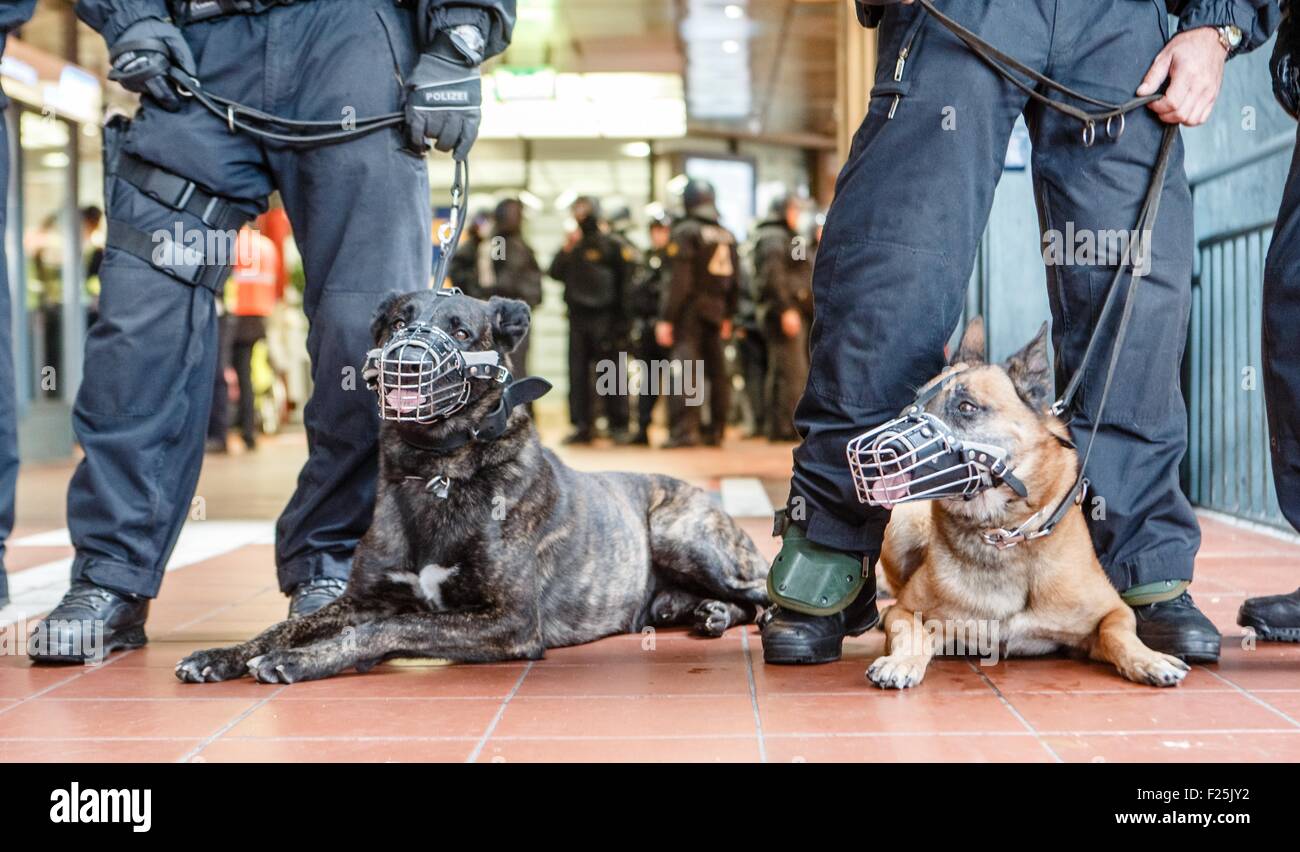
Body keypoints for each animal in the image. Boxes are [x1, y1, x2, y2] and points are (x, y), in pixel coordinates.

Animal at [171, 290, 759, 681]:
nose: (407, 360)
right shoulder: (362, 598)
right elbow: (286, 626)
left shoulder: (510, 622)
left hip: (682, 537)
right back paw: (705, 613)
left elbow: (389, 629)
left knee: (759, 596)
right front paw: (224, 654)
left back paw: (728, 613)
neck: (437, 471)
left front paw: (301, 659)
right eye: (398, 323)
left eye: (459, 332)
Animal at [868, 316, 1190, 692]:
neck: (1003, 534)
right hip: (901, 526)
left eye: (966, 407)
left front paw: (1148, 658)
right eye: (915, 403)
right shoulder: (909, 612)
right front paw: (901, 661)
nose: (885, 449)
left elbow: (1119, 632)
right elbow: (912, 631)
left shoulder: (1114, 611)